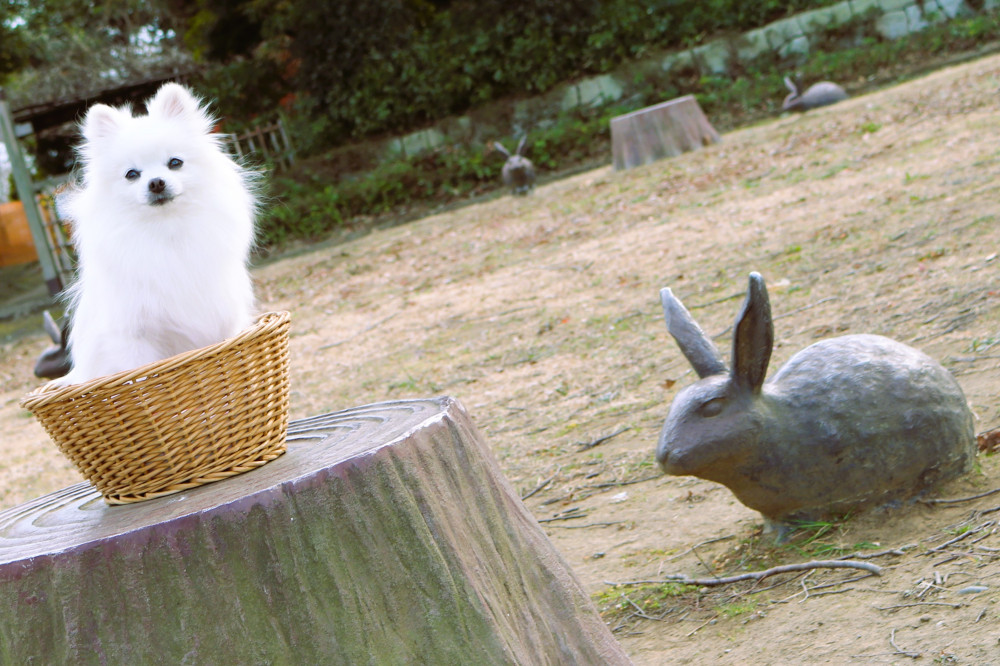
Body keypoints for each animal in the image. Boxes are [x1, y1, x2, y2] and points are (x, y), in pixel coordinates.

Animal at [54, 83, 258, 384]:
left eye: (175, 163)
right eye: (131, 174)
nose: (156, 183)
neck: (166, 229)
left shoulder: (223, 320)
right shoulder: (132, 337)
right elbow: (140, 374)